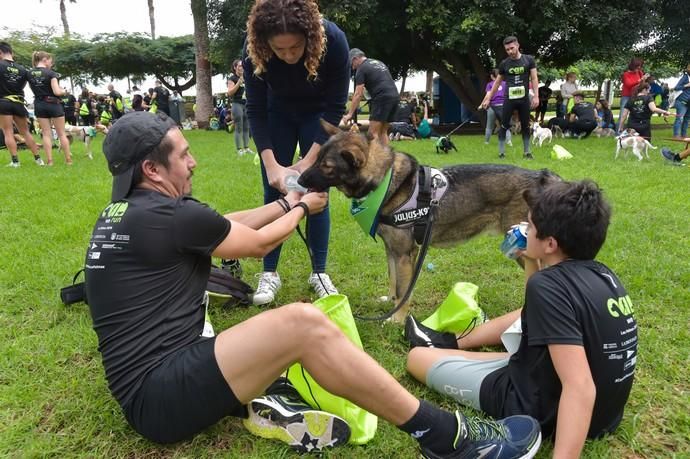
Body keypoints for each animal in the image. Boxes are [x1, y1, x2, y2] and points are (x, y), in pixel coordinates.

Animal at [298, 122, 556, 324]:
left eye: (327, 167)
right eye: (317, 158)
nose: (299, 180)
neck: (386, 183)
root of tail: (543, 178)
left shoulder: (405, 254)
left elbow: (404, 290)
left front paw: (397, 319)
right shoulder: (392, 250)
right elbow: (393, 281)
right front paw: (390, 302)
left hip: (524, 248)